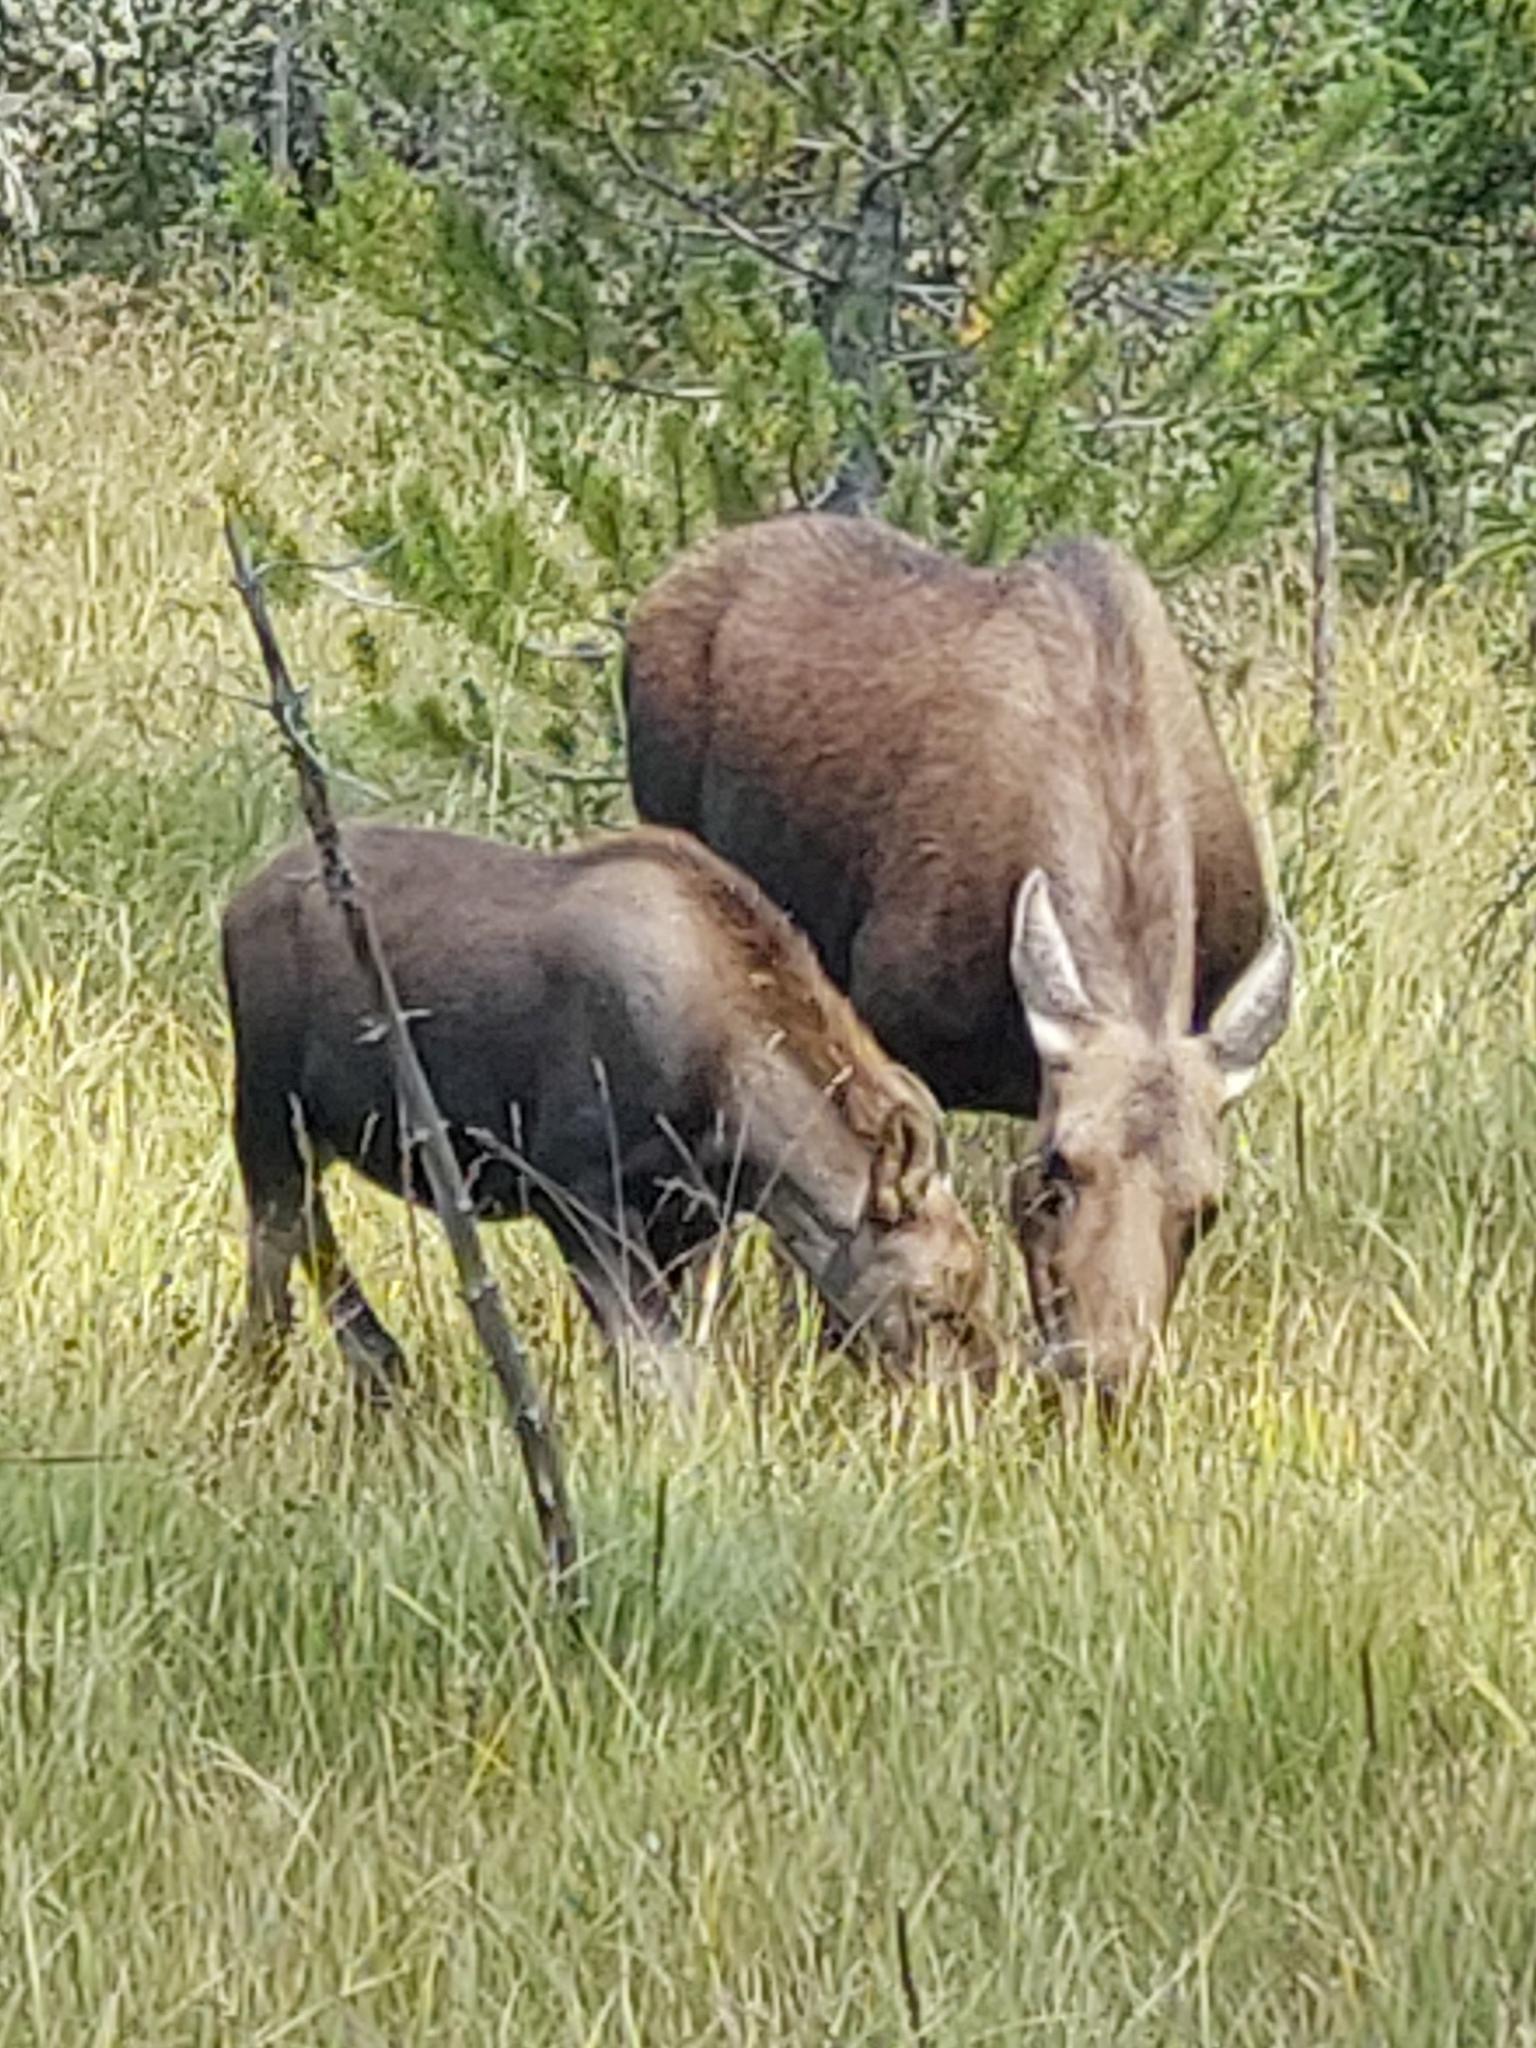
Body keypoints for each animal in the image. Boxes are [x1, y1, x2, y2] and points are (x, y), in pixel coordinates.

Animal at [221, 821, 1001, 1409]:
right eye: (935, 1299)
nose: (976, 1400)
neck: (734, 1113)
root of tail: (233, 906)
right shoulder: (575, 1192)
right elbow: (666, 1367)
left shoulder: (684, 1221)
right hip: (266, 1110)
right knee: (278, 1237)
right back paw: (298, 1369)